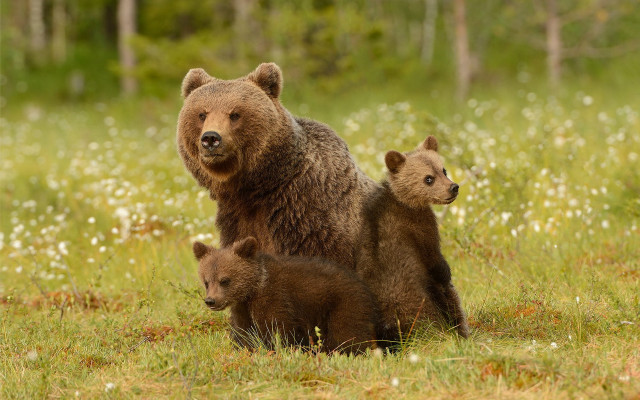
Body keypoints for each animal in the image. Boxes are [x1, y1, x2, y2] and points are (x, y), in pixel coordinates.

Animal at [193, 237, 379, 355]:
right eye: (206, 281)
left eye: (225, 280)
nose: (211, 301)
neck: (254, 287)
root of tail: (362, 285)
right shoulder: (242, 308)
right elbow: (244, 332)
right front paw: (245, 350)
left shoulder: (275, 297)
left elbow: (277, 328)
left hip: (344, 303)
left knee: (347, 333)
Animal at [355, 135, 470, 344]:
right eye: (428, 178)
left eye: (443, 169)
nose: (454, 187)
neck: (405, 202)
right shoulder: (422, 228)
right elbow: (436, 262)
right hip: (418, 305)